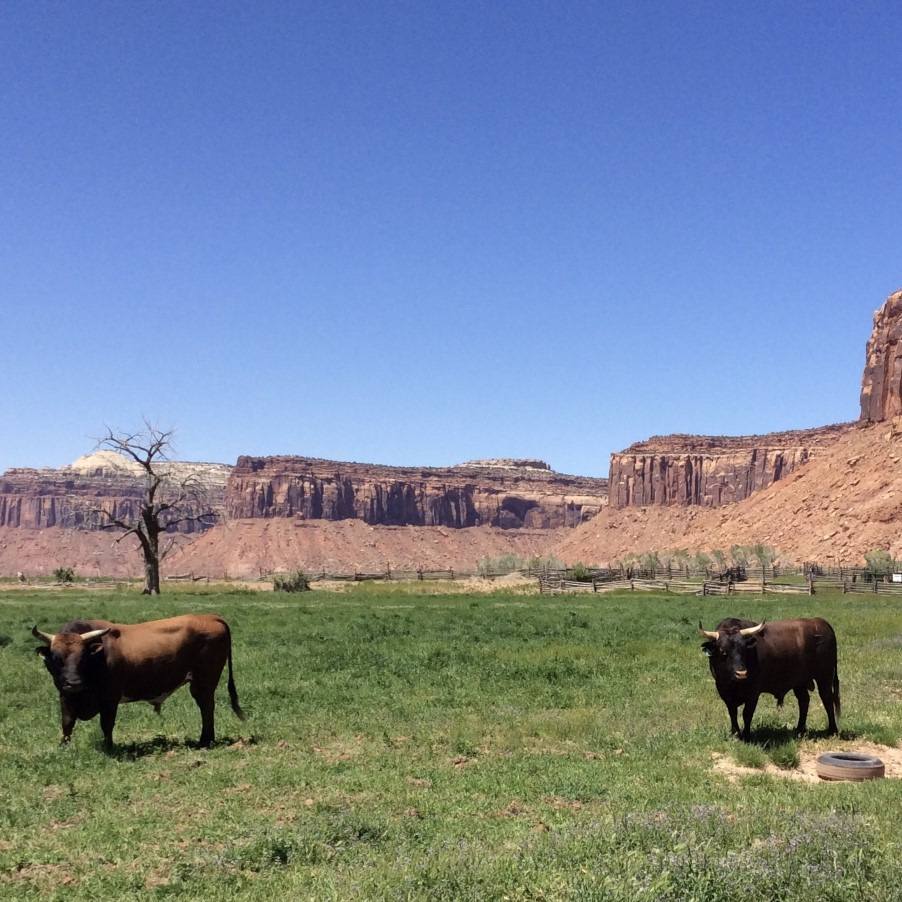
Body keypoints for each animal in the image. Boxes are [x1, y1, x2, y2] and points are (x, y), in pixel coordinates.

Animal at [33, 614, 245, 750]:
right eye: (57, 658)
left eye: (83, 658)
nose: (74, 683)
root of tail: (211, 617)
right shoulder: (65, 695)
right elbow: (67, 723)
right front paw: (63, 747)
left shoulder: (109, 699)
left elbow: (106, 724)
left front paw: (108, 747)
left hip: (203, 683)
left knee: (207, 708)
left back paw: (204, 742)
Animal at [699, 617, 840, 741]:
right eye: (723, 651)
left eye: (744, 650)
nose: (741, 673)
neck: (733, 684)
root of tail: (820, 622)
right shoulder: (724, 691)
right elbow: (732, 713)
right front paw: (735, 734)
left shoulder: (753, 693)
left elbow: (747, 714)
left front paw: (746, 736)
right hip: (799, 682)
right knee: (804, 701)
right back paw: (799, 730)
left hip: (824, 676)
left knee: (827, 699)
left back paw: (832, 731)